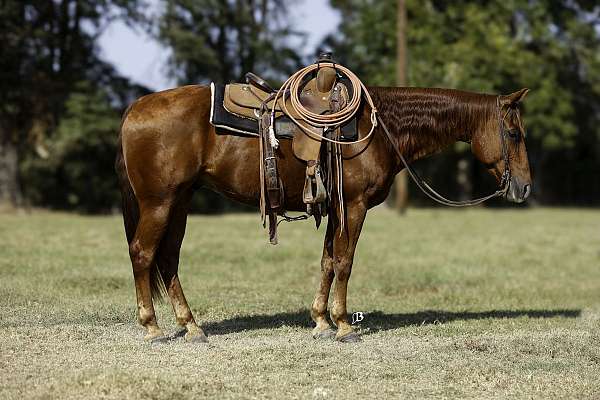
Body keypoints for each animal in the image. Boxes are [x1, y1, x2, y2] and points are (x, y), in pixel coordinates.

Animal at [115, 83, 532, 340]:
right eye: (514, 134)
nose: (525, 187)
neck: (376, 129)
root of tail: (134, 109)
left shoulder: (335, 210)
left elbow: (328, 261)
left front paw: (321, 321)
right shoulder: (355, 206)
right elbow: (345, 262)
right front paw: (345, 325)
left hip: (179, 202)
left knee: (168, 258)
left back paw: (191, 327)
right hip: (159, 203)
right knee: (142, 253)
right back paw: (152, 328)